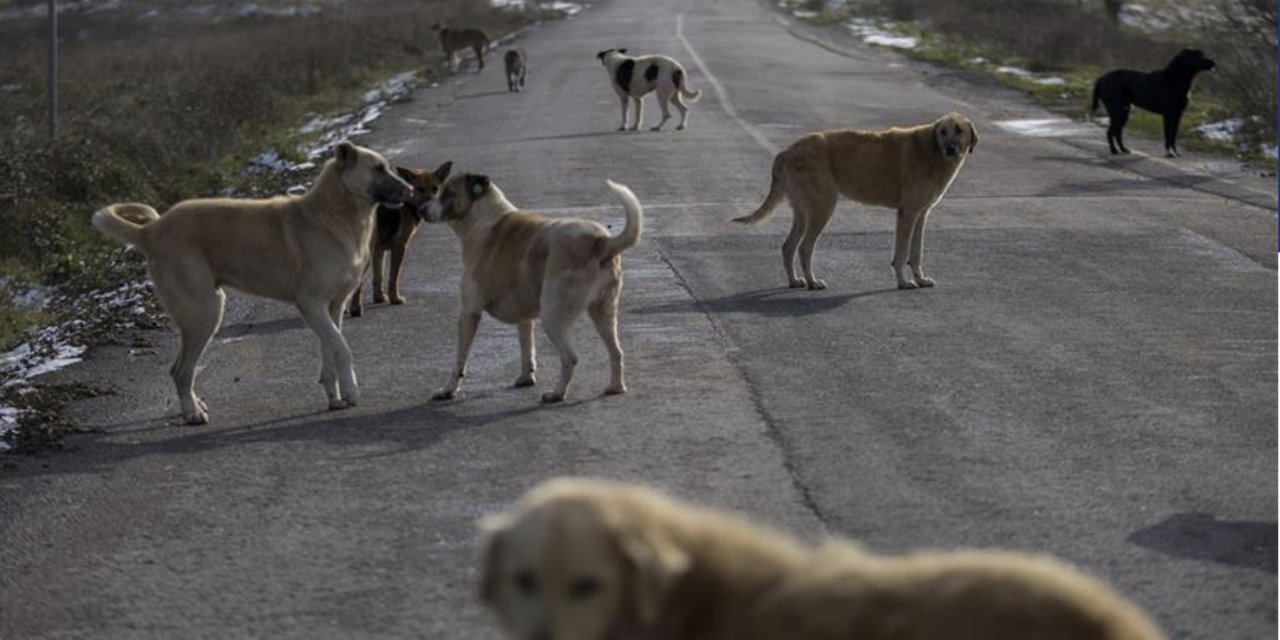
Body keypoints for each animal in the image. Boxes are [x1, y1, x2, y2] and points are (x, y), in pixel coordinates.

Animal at [348, 162, 453, 317]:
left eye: (435, 188)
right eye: (419, 189)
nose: (429, 207)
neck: (408, 202)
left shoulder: (379, 251)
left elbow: (378, 276)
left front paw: (379, 297)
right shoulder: (399, 247)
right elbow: (393, 277)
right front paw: (395, 299)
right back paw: (355, 309)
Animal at [424, 174, 645, 404]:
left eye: (447, 193)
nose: (421, 209)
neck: (482, 218)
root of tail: (601, 242)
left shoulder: (469, 312)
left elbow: (460, 358)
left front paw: (449, 390)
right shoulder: (524, 316)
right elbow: (527, 347)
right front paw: (526, 377)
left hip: (553, 317)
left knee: (570, 358)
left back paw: (557, 393)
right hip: (603, 313)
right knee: (616, 352)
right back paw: (616, 387)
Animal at [732, 112, 977, 290]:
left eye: (959, 130)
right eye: (943, 132)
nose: (950, 149)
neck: (931, 151)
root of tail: (788, 151)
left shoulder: (921, 214)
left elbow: (916, 253)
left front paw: (920, 278)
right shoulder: (907, 213)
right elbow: (901, 253)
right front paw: (903, 282)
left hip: (803, 212)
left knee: (788, 246)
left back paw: (795, 281)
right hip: (822, 208)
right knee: (804, 247)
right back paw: (812, 282)